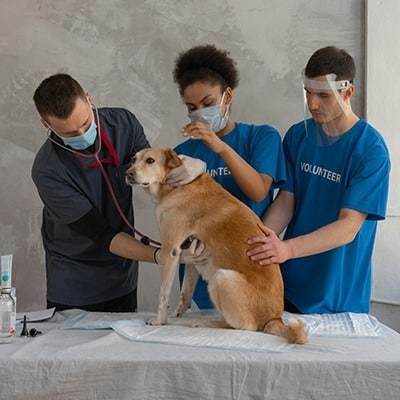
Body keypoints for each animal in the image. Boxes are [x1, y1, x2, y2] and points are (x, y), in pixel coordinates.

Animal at [126, 148, 308, 344]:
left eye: (150, 160)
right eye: (133, 159)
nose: (128, 173)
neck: (172, 187)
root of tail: (275, 319)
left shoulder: (170, 251)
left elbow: (163, 294)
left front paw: (160, 320)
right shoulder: (191, 257)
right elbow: (185, 294)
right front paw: (176, 314)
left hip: (221, 277)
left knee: (243, 326)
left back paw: (207, 323)